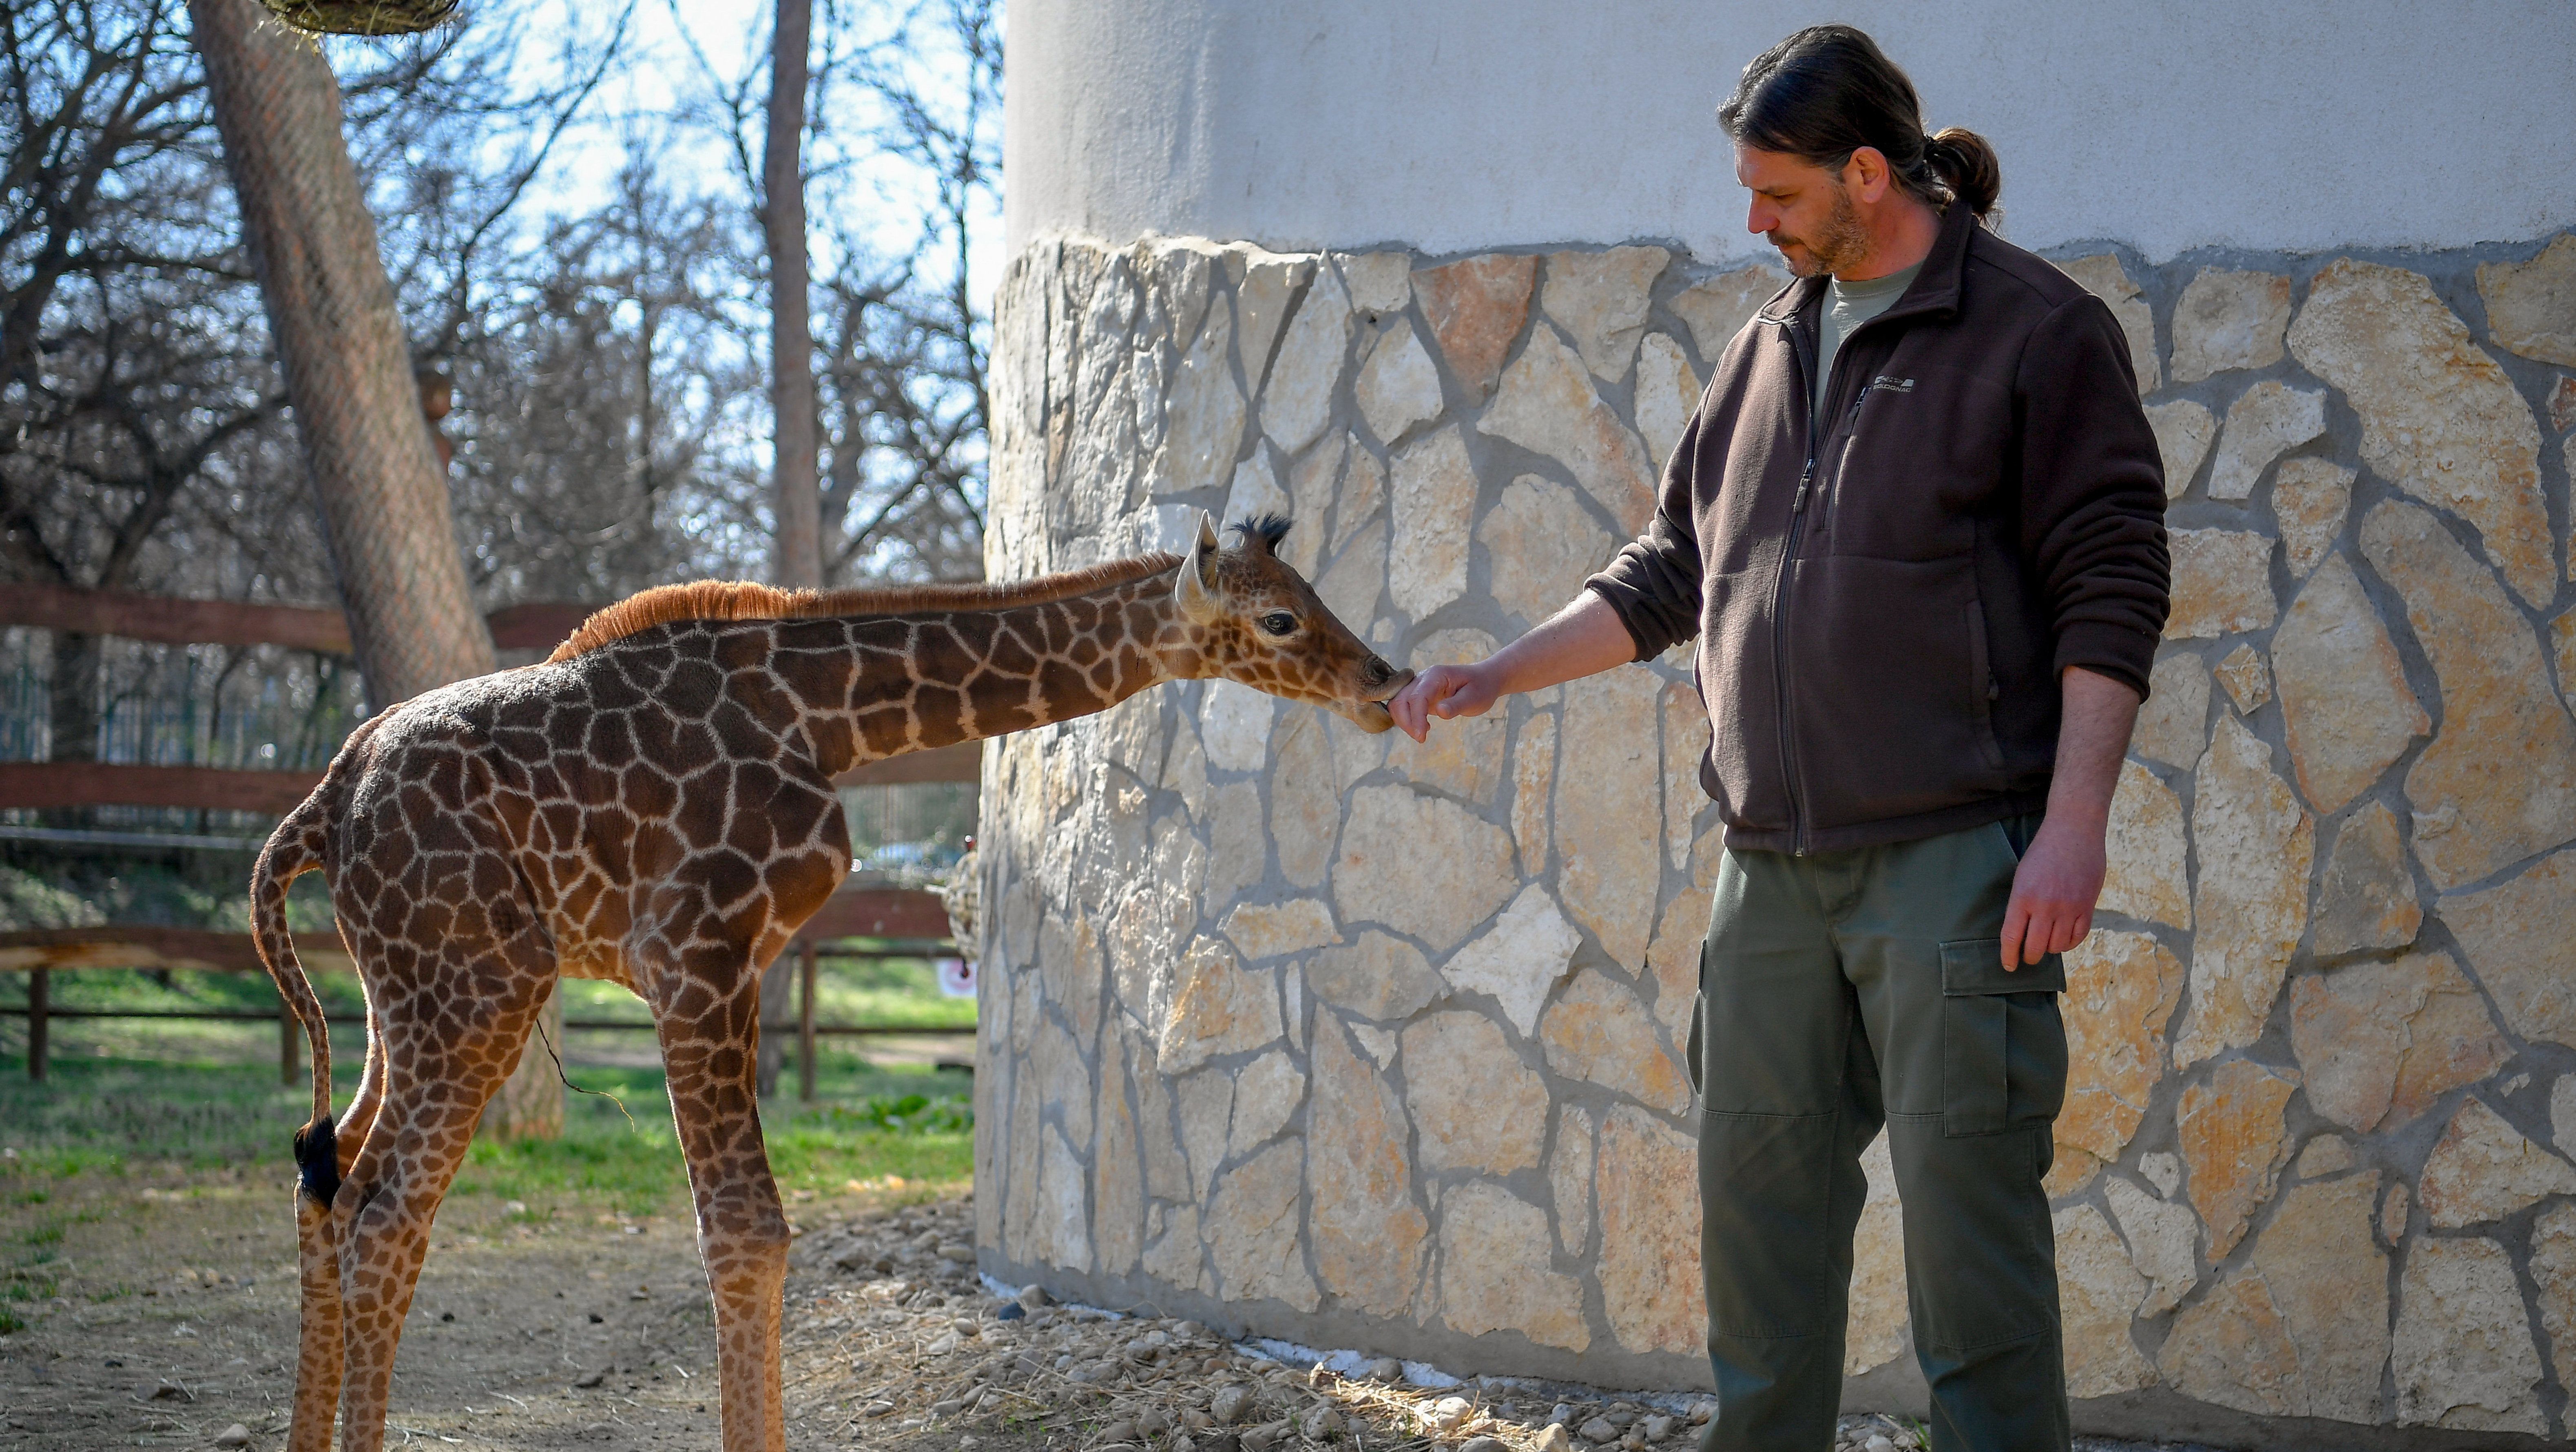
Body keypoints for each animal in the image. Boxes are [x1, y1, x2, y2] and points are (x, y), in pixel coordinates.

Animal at [251, 515, 1412, 1452]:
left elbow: (756, 1230)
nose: (1384, 683)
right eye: (1278, 619)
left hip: (403, 999)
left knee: (327, 1177)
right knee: (383, 1214)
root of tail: (321, 805)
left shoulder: (732, 965)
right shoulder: (693, 952)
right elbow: (748, 1232)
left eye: (1312, 595)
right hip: (480, 986)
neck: (826, 715)